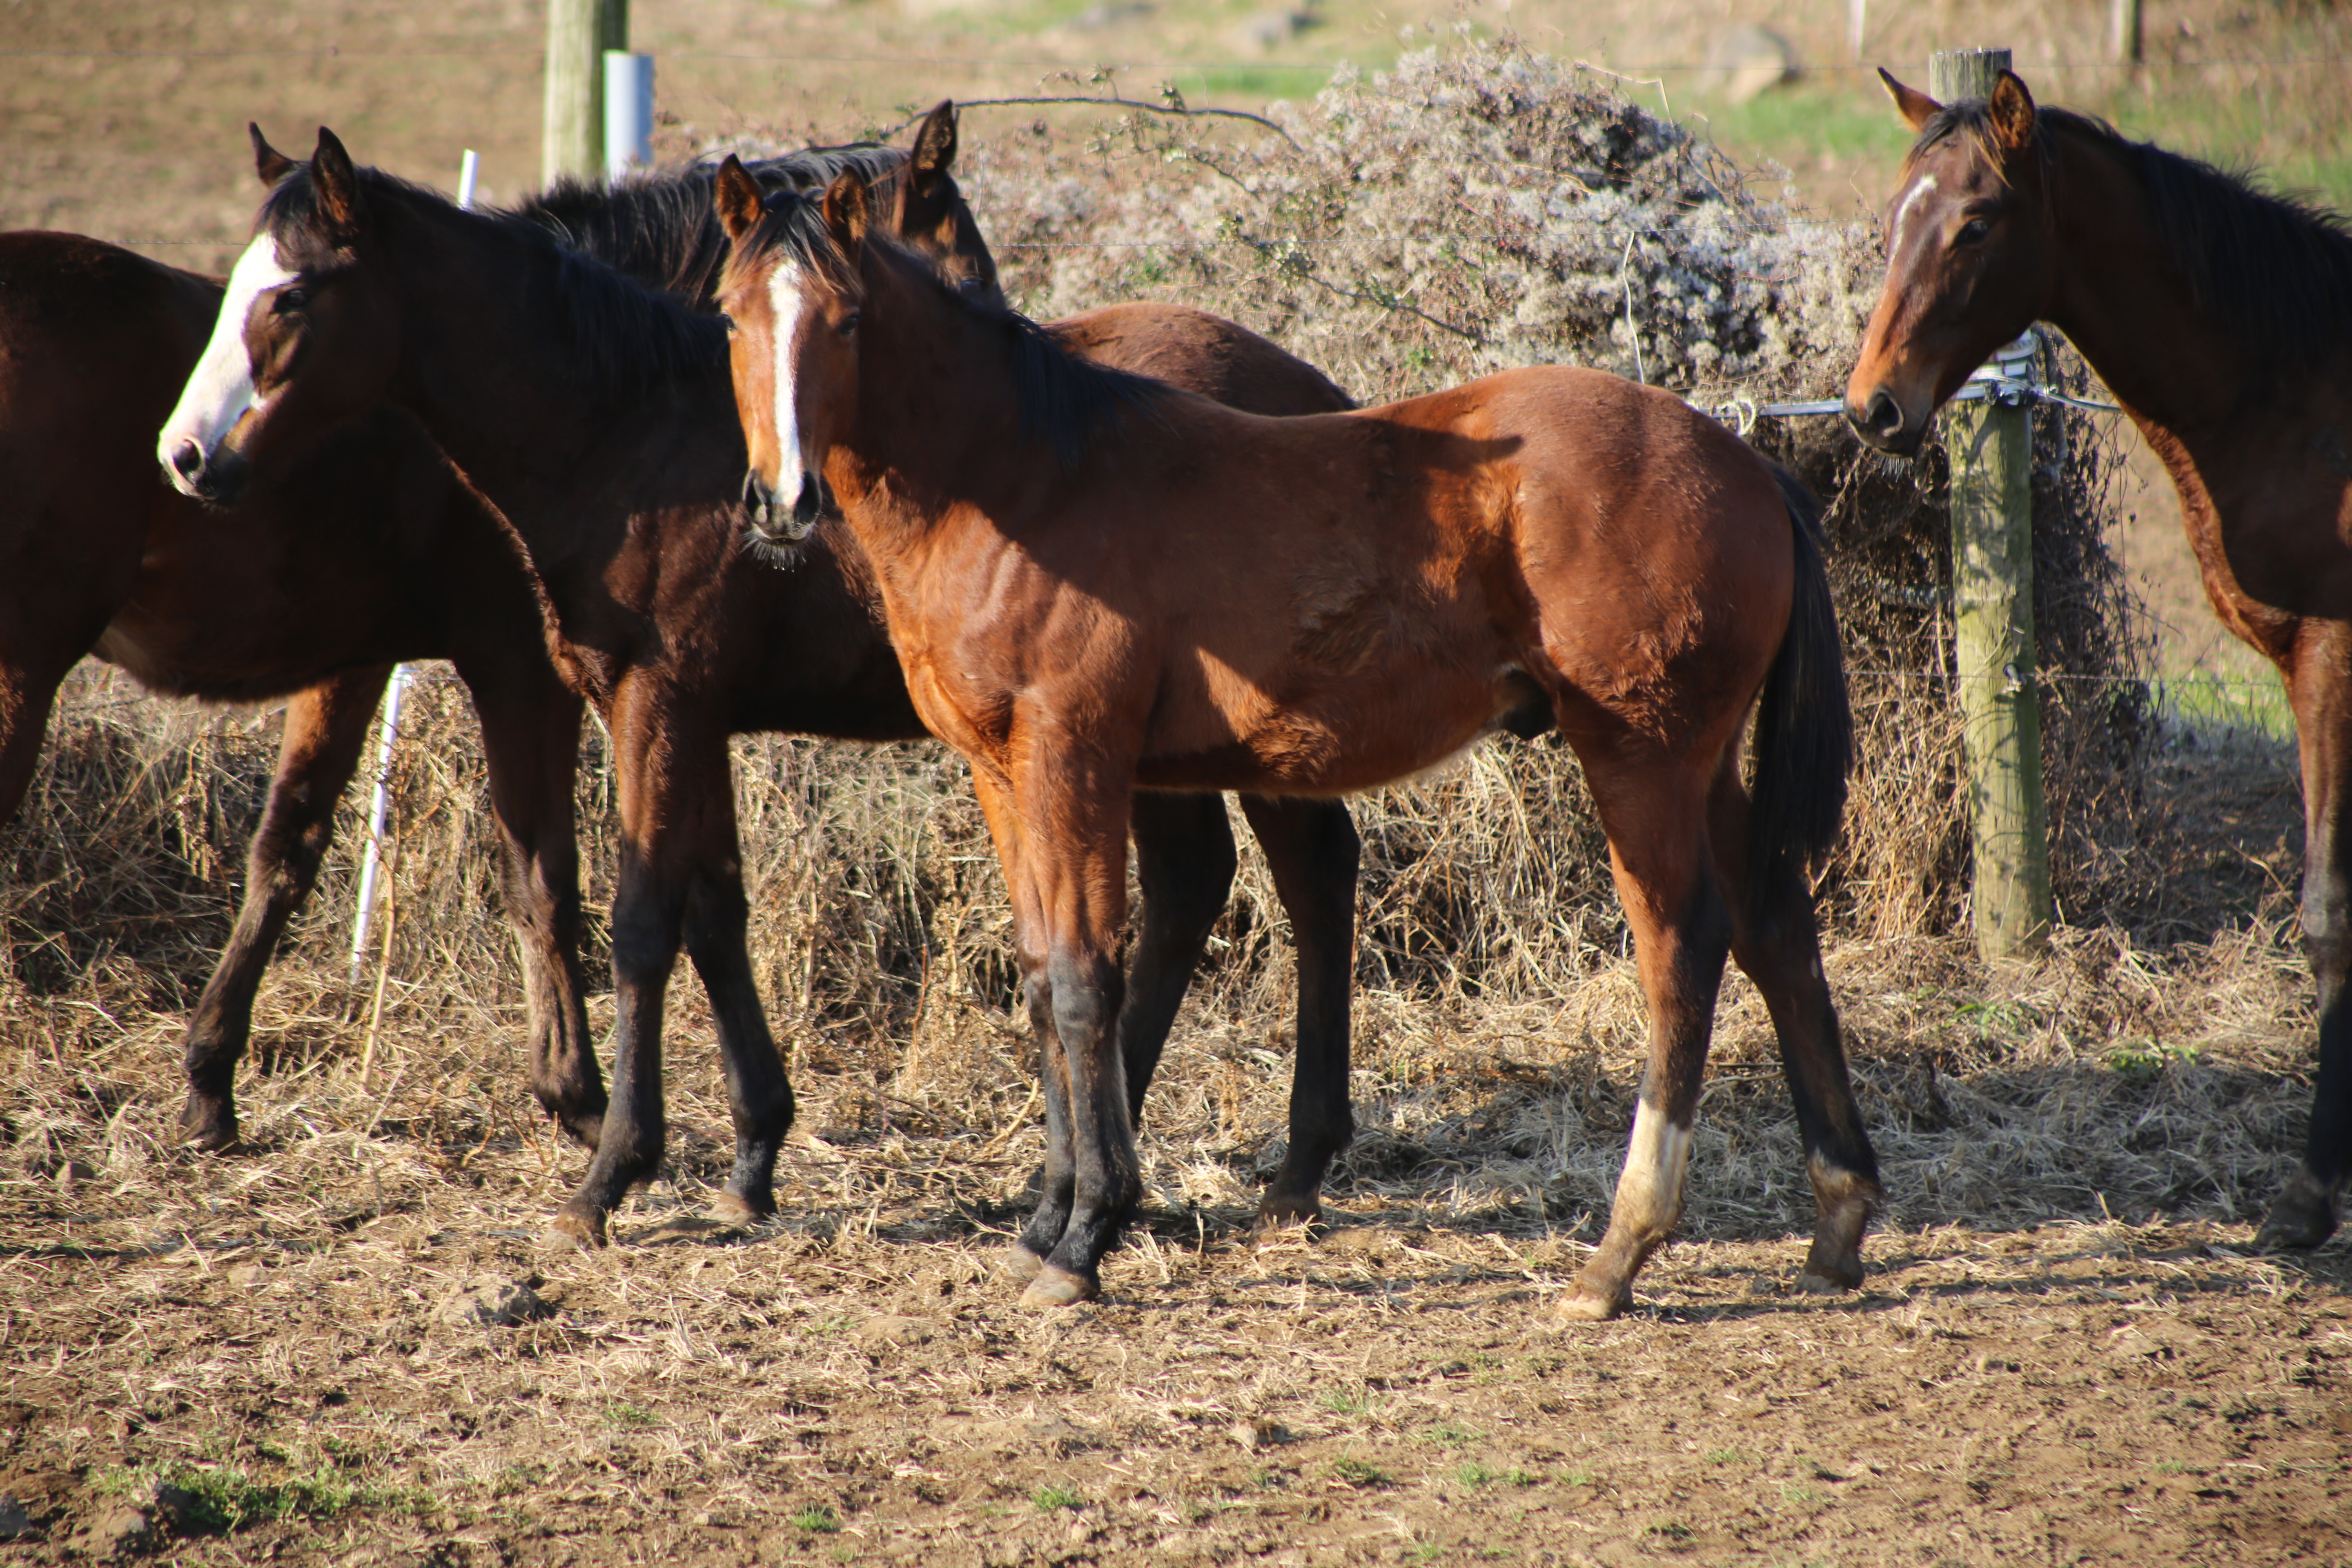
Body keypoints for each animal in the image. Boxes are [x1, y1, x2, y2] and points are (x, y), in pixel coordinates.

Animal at [166, 113, 1373, 1250]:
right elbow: (714, 908)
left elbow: (642, 922)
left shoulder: (657, 704)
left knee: (1306, 876)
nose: (186, 457)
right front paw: (753, 1153)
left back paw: (1285, 1162)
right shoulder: (681, 712)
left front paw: (611, 1173)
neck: (634, 432)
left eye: (293, 293)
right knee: (1196, 883)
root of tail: (1313, 393)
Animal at [706, 162, 1882, 1316]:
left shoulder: (1076, 758)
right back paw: (1837, 1220)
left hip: (1641, 760)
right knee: (1777, 928)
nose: (782, 501)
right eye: (729, 315)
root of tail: (1745, 464)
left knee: (1682, 950)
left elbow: (1087, 982)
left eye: (849, 319)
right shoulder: (1006, 773)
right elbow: (1043, 981)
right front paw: (1046, 1220)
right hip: (1705, 765)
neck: (1025, 480)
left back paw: (1618, 1255)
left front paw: (1085, 1236)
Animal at [1844, 70, 2352, 1250]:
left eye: (1974, 225)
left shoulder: (2331, 654)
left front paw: (2307, 1199)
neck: (2299, 392)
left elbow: (2325, 918)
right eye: (1893, 220)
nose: (1871, 407)